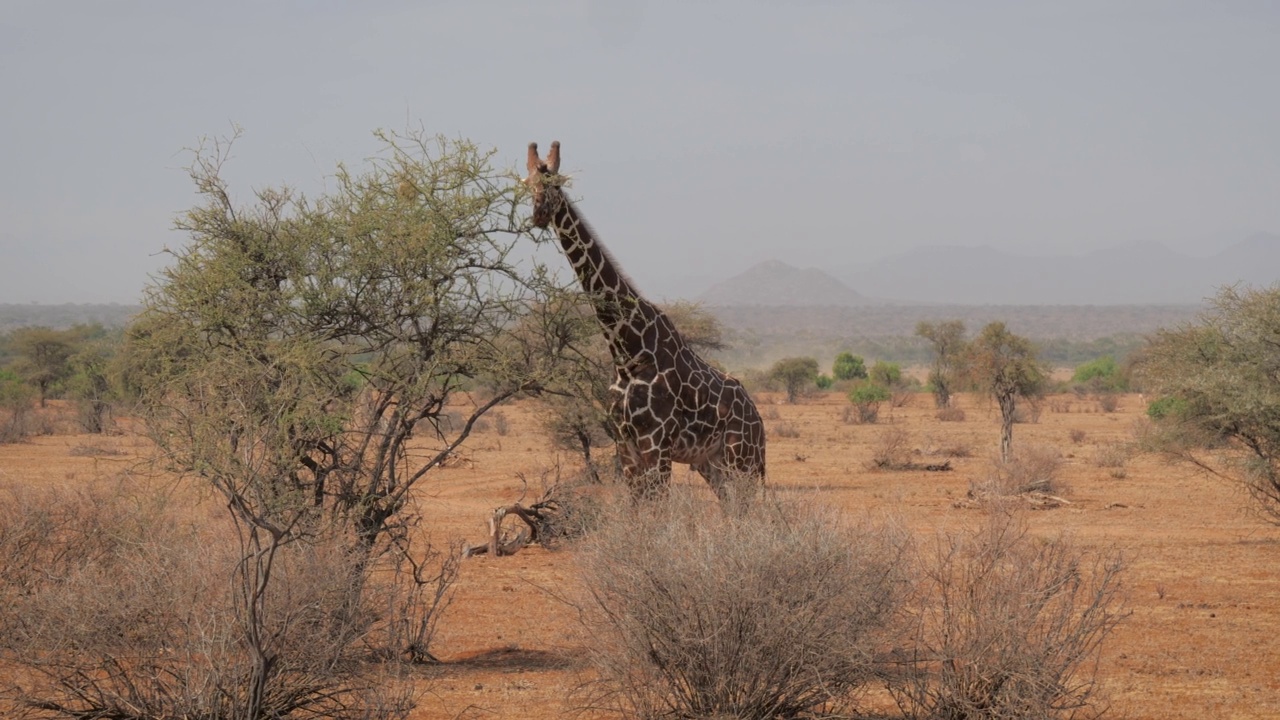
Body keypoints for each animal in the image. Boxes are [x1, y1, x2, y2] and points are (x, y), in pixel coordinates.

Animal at [524, 139, 762, 499]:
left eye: (555, 184)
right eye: (527, 185)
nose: (538, 215)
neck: (626, 348)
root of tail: (758, 417)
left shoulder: (656, 442)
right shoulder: (626, 445)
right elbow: (639, 507)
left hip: (744, 458)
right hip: (711, 463)